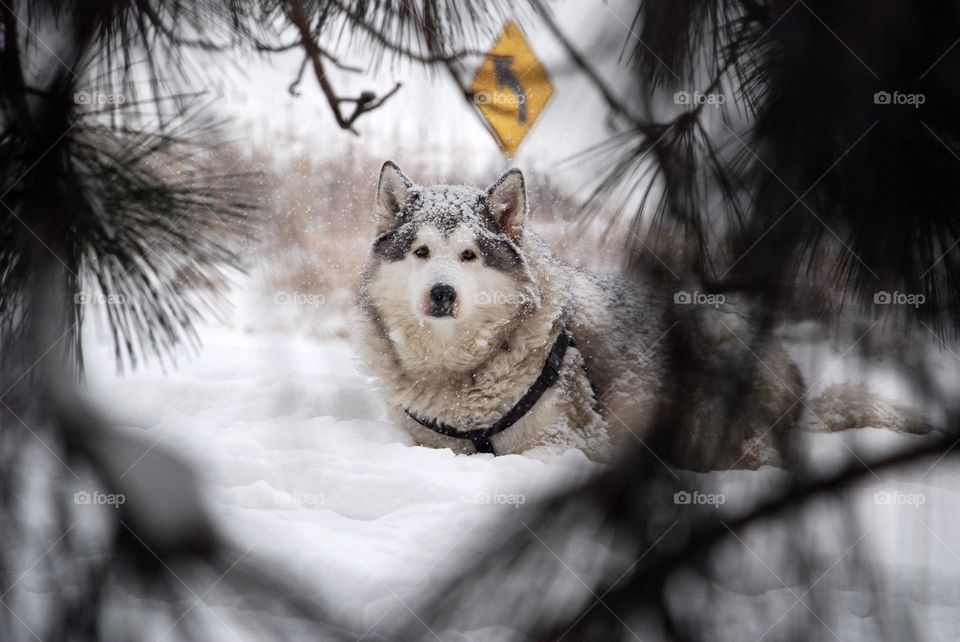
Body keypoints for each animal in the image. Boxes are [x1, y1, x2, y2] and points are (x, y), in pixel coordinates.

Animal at [356, 162, 928, 468]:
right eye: (421, 252)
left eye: (470, 255)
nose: (442, 294)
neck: (462, 372)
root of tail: (798, 393)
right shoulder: (428, 441)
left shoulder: (573, 441)